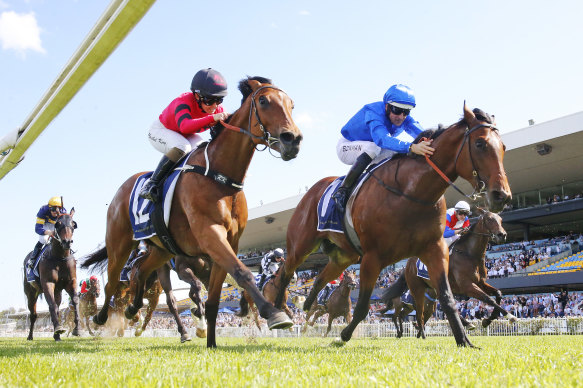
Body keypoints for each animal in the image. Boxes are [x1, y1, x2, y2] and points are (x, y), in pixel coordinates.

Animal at [22, 212, 79, 340]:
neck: (60, 257)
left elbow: (75, 301)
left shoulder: (70, 282)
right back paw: (30, 336)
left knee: (56, 308)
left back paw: (56, 336)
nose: (67, 242)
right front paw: (58, 328)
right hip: (31, 293)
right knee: (33, 314)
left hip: (57, 292)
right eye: (58, 224)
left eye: (73, 224)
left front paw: (77, 329)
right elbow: (52, 305)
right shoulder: (48, 283)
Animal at [82, 76, 304, 348]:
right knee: (113, 281)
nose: (292, 139)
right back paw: (101, 317)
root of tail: (120, 191)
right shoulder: (209, 233)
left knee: (142, 271)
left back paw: (133, 309)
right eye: (263, 101)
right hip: (120, 243)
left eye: (291, 105)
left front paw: (211, 342)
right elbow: (242, 273)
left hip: (163, 250)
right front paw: (274, 314)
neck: (220, 176)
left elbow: (214, 298)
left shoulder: (228, 242)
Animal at [390, 208, 516, 338]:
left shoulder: (480, 282)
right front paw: (510, 316)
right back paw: (419, 333)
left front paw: (488, 320)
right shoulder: (466, 286)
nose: (502, 235)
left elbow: (498, 294)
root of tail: (408, 264)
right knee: (419, 312)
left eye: (500, 220)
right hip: (417, 289)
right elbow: (489, 299)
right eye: (489, 219)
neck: (469, 254)